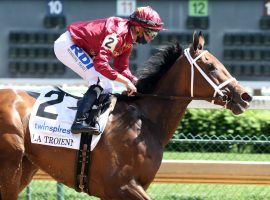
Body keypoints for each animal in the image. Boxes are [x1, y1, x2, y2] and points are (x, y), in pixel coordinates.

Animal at [0, 32, 253, 199]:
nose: (245, 96)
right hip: (10, 167)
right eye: (211, 66)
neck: (144, 121)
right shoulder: (120, 186)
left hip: (26, 166)